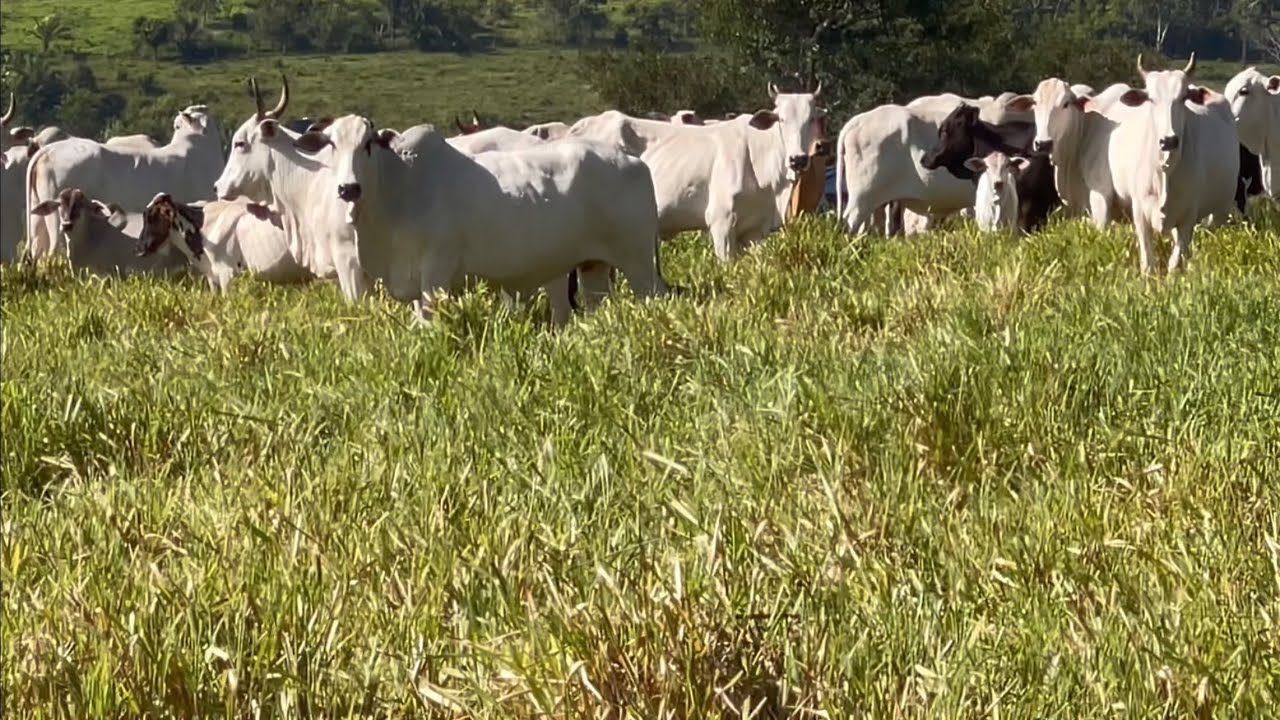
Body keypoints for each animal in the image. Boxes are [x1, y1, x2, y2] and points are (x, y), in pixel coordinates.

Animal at [291, 116, 671, 325]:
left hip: (638, 263)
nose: (348, 188)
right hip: (593, 267)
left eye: (368, 144)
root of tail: (633, 161)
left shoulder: (436, 273)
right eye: (331, 144)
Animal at [1106, 55, 1240, 274]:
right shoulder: (1139, 213)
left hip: (1220, 210)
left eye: (1183, 97)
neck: (1164, 172)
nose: (1169, 140)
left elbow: (1175, 262)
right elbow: (1148, 262)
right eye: (1151, 98)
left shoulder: (1188, 215)